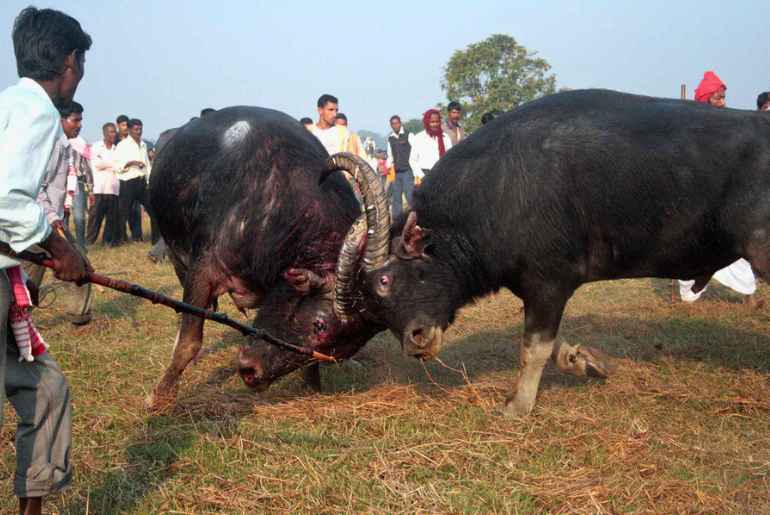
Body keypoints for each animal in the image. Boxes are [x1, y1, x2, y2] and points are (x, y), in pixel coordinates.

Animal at [146, 107, 388, 410]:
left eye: (340, 349)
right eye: (319, 326)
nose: (252, 373)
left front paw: (312, 386)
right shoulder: (202, 270)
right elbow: (189, 341)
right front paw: (161, 397)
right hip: (177, 256)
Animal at [338, 88, 770, 418]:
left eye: (386, 279)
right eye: (372, 308)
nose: (416, 342)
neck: (499, 190)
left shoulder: (549, 284)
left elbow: (534, 348)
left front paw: (517, 405)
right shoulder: (539, 290)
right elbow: (553, 344)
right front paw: (585, 361)